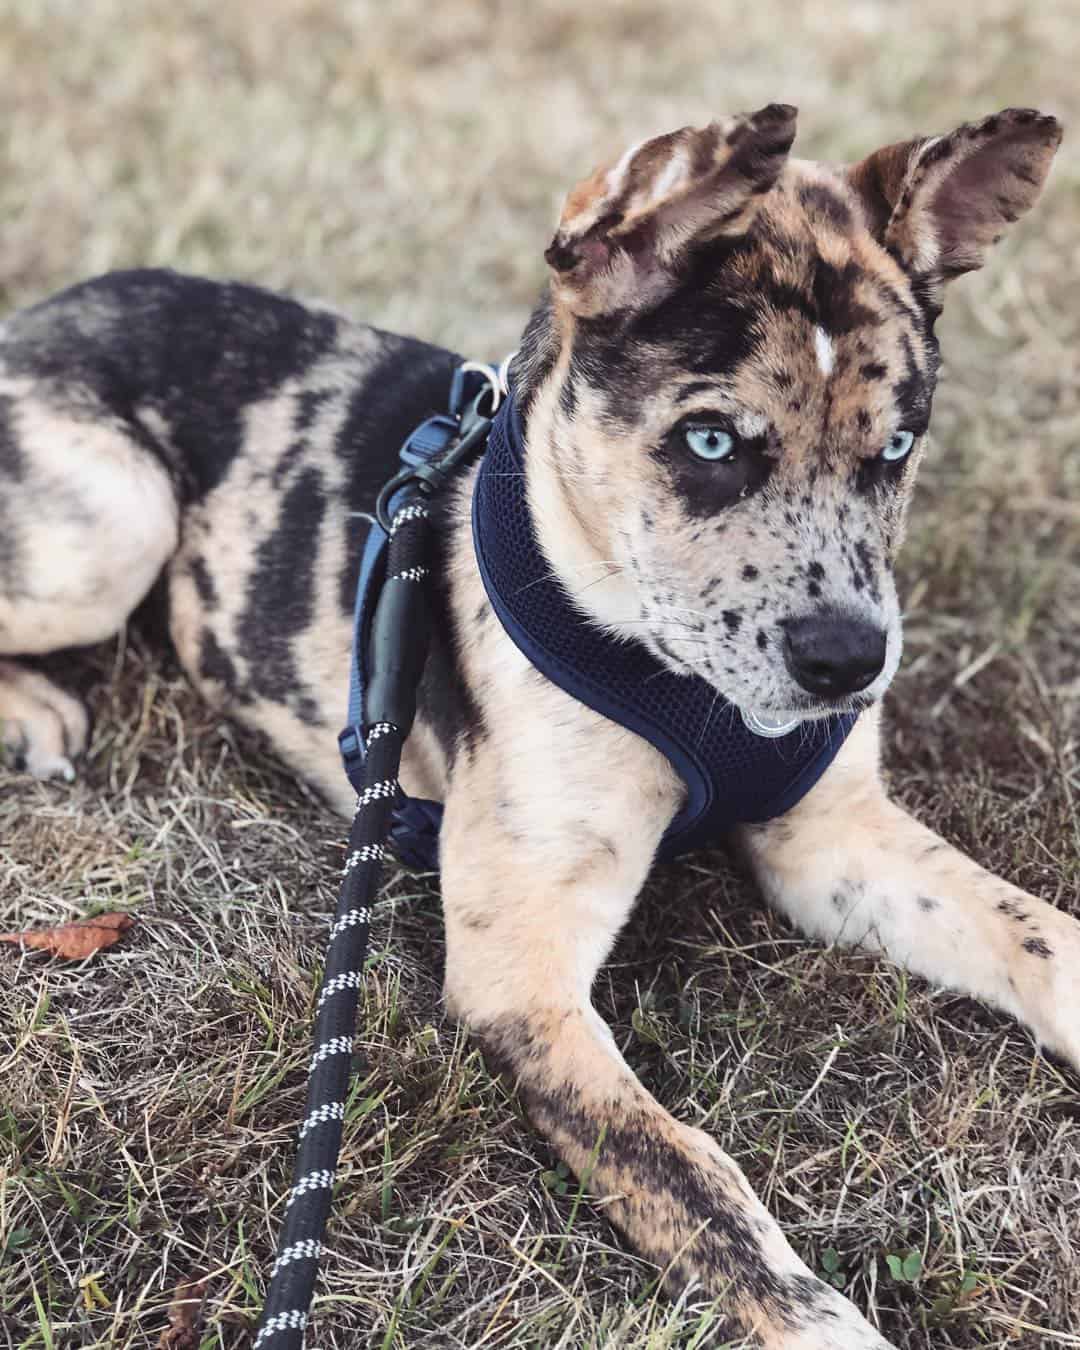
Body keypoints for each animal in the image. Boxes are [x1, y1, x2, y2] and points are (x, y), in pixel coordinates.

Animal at [4, 108, 1074, 1350]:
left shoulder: (833, 840)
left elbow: (1032, 930)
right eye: (712, 444)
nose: (849, 666)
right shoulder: (523, 977)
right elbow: (694, 1181)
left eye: (898, 448)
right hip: (113, 528)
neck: (675, 675)